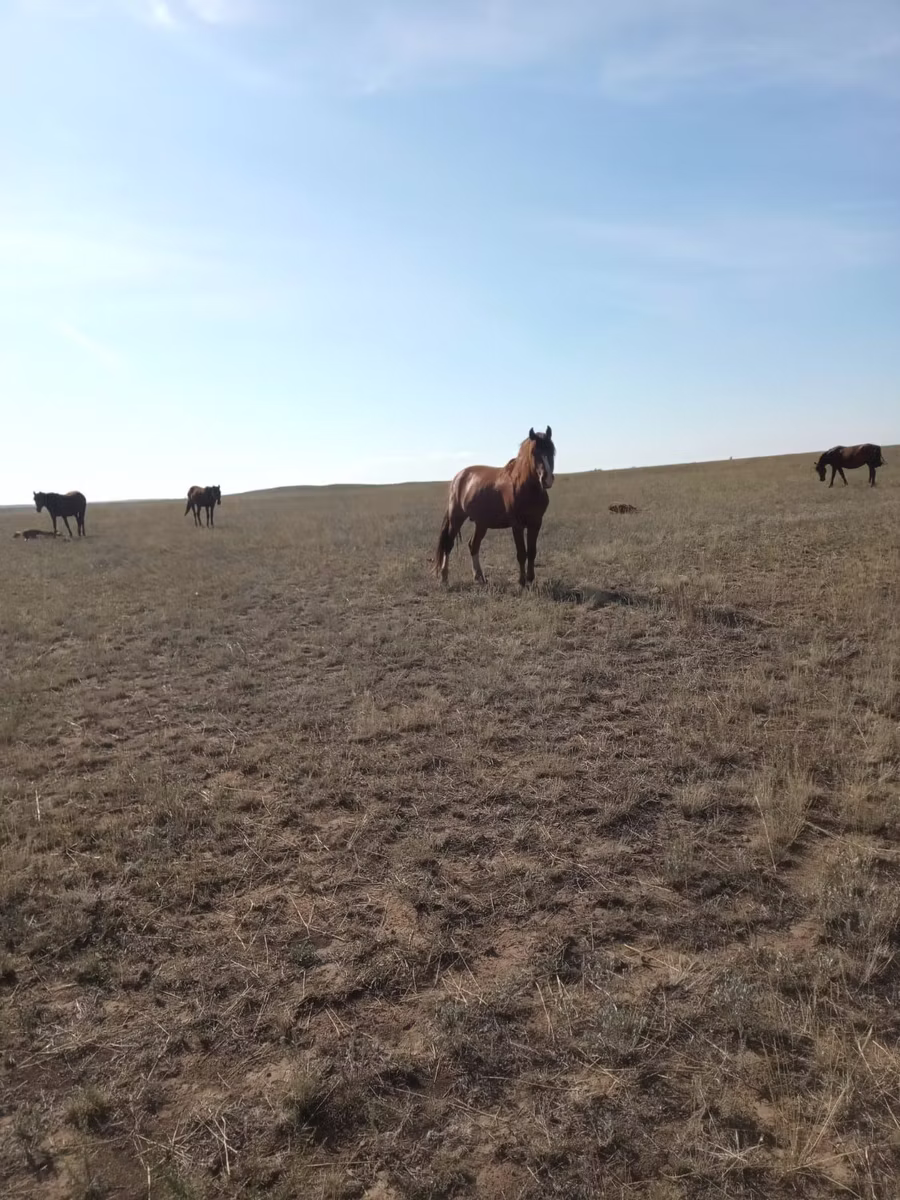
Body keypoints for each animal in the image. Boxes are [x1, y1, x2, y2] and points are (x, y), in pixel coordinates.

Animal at [434, 427, 555, 587]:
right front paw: (522, 581)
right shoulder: (517, 525)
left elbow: (532, 552)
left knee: (473, 545)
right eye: (534, 452)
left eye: (552, 450)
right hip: (456, 518)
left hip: (481, 523)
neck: (524, 487)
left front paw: (530, 579)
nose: (547, 479)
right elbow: (522, 553)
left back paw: (479, 577)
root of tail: (458, 477)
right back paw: (444, 578)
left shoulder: (535, 523)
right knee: (448, 544)